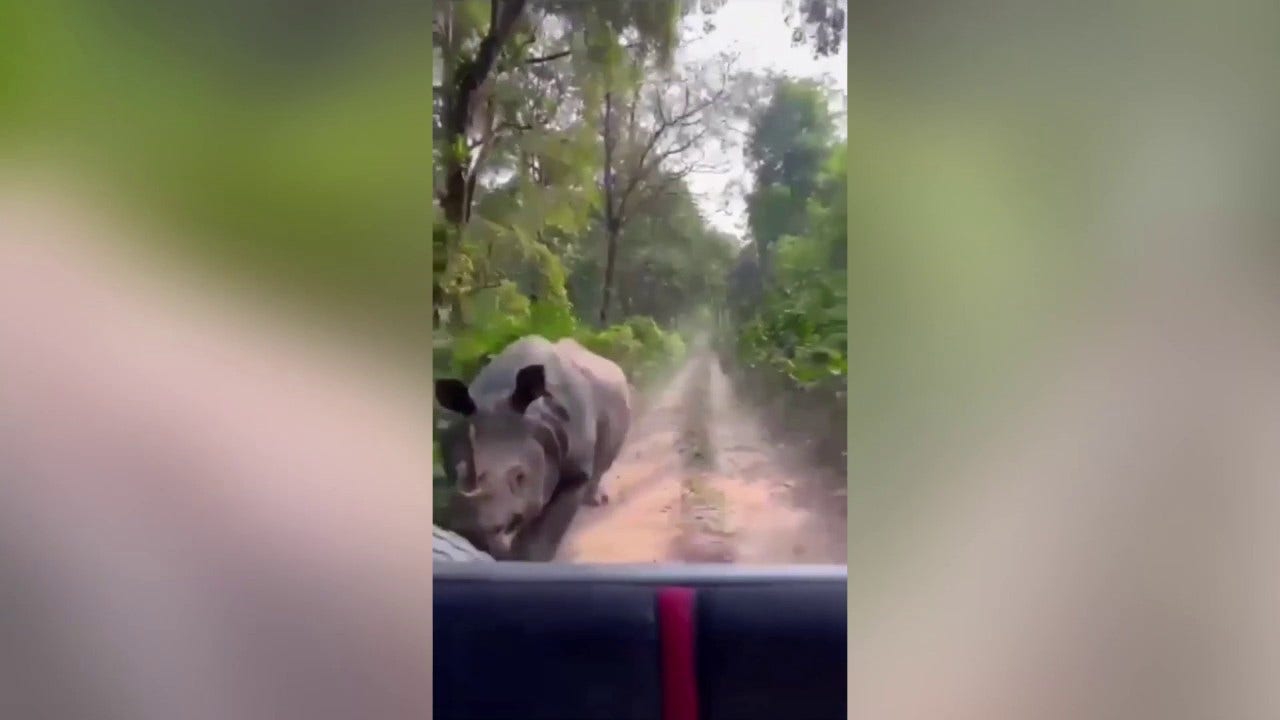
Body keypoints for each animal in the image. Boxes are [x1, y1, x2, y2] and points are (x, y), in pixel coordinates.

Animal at [434, 335, 632, 560]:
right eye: (459, 473)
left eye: (520, 476)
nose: (471, 529)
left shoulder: (575, 471)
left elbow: (545, 531)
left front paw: (528, 559)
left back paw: (596, 500)